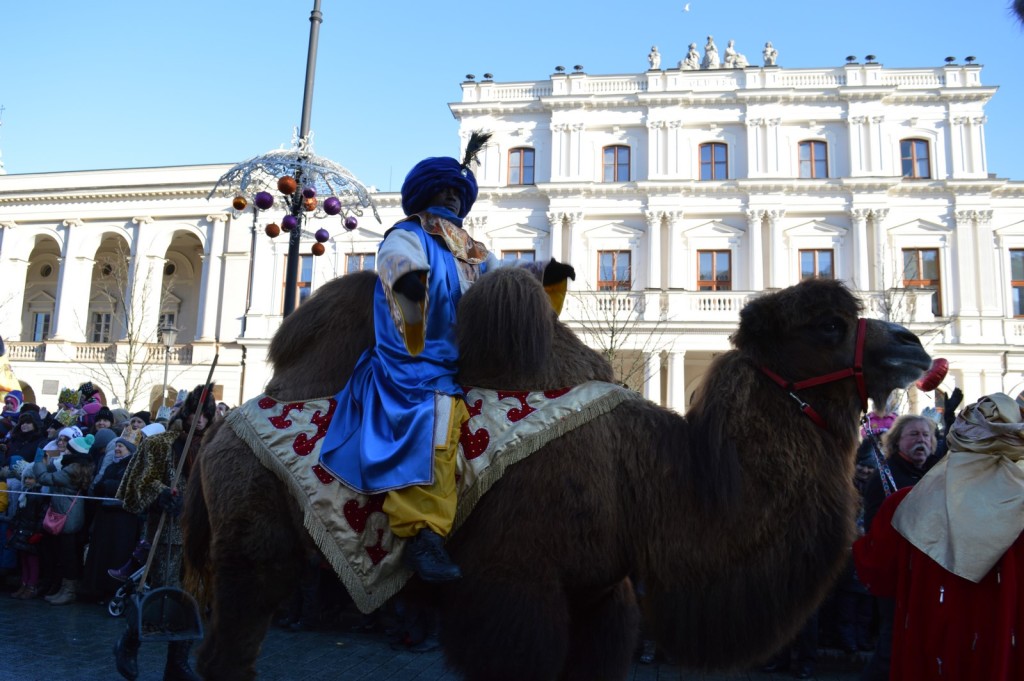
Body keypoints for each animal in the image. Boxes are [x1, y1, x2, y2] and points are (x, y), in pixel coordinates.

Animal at [180, 266, 933, 679]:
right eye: (829, 325)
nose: (916, 343)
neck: (645, 479)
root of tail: (221, 429)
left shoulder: (598, 599)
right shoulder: (517, 592)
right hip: (254, 552)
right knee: (228, 653)